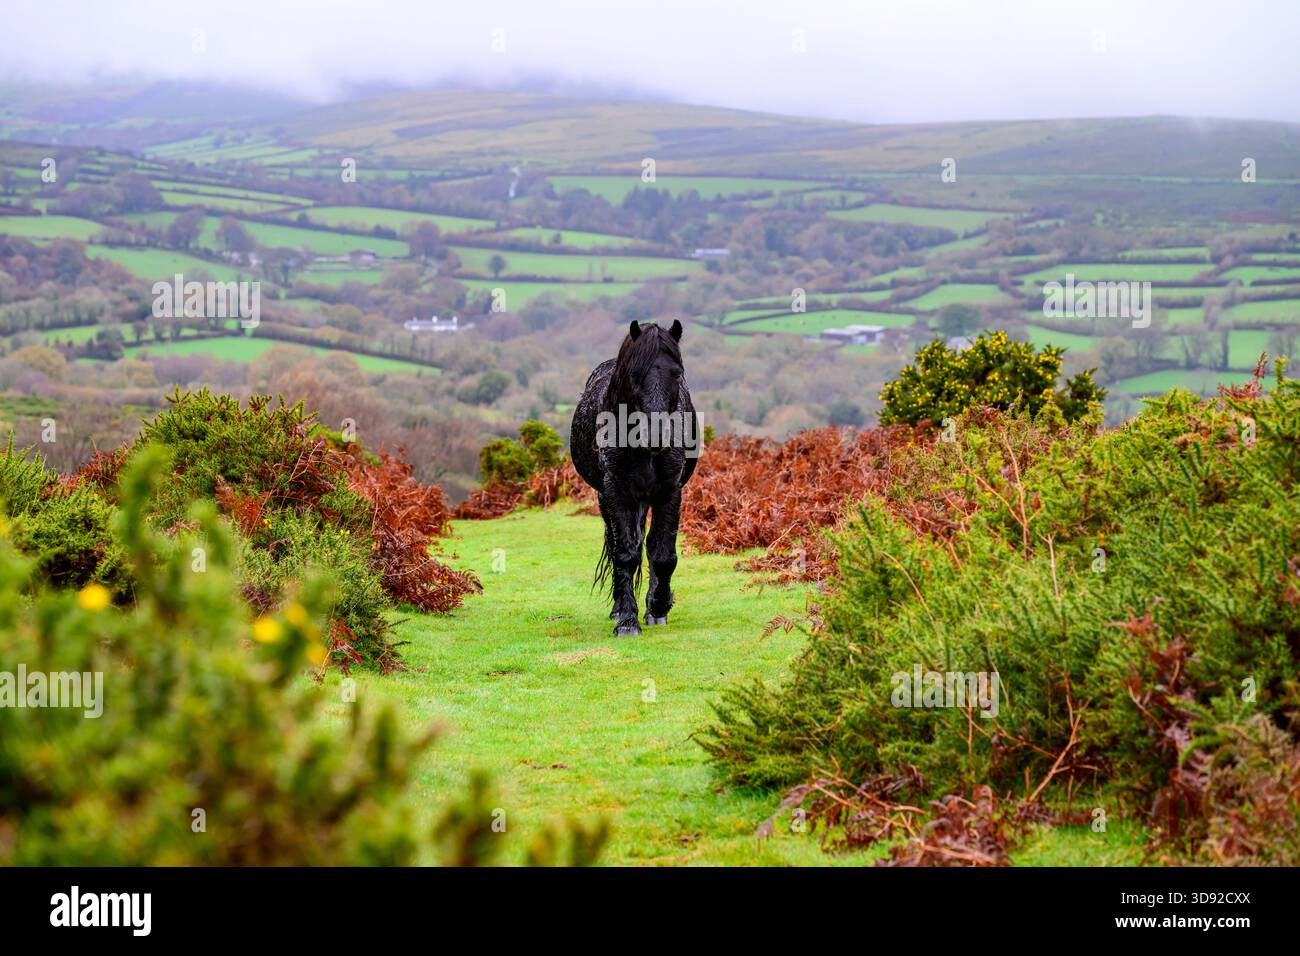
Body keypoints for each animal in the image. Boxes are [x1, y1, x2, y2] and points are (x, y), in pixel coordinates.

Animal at [570, 320, 699, 636]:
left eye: (677, 373)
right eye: (634, 374)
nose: (656, 434)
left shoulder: (669, 491)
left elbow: (663, 554)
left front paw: (658, 606)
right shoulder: (616, 491)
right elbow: (625, 553)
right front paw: (628, 620)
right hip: (610, 500)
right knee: (618, 544)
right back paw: (619, 607)